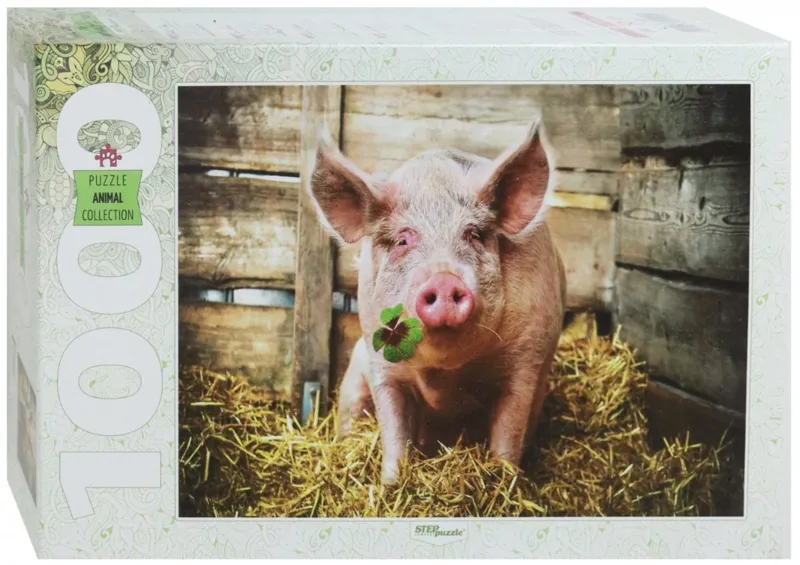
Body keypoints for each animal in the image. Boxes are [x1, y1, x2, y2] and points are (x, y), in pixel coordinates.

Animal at [308, 119, 566, 483]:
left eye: (473, 234)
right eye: (403, 240)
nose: (444, 279)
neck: (446, 374)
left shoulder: (528, 358)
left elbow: (508, 433)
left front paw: (504, 480)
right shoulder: (380, 363)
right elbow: (393, 433)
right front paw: (391, 484)